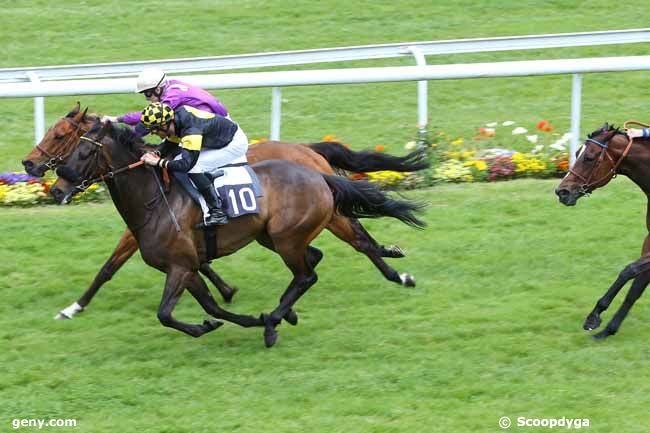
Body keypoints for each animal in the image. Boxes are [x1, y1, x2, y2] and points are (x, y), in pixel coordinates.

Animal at [21, 103, 426, 318]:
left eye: (61, 136)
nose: (29, 164)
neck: (153, 185)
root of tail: (308, 150)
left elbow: (109, 267)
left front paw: (74, 307)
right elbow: (195, 264)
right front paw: (227, 290)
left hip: (319, 219)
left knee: (358, 238)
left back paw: (397, 272)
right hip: (275, 232)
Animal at [552, 121, 648, 338]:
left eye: (588, 157)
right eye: (576, 152)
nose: (562, 192)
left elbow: (629, 270)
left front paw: (597, 318)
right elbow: (636, 287)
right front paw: (605, 326)